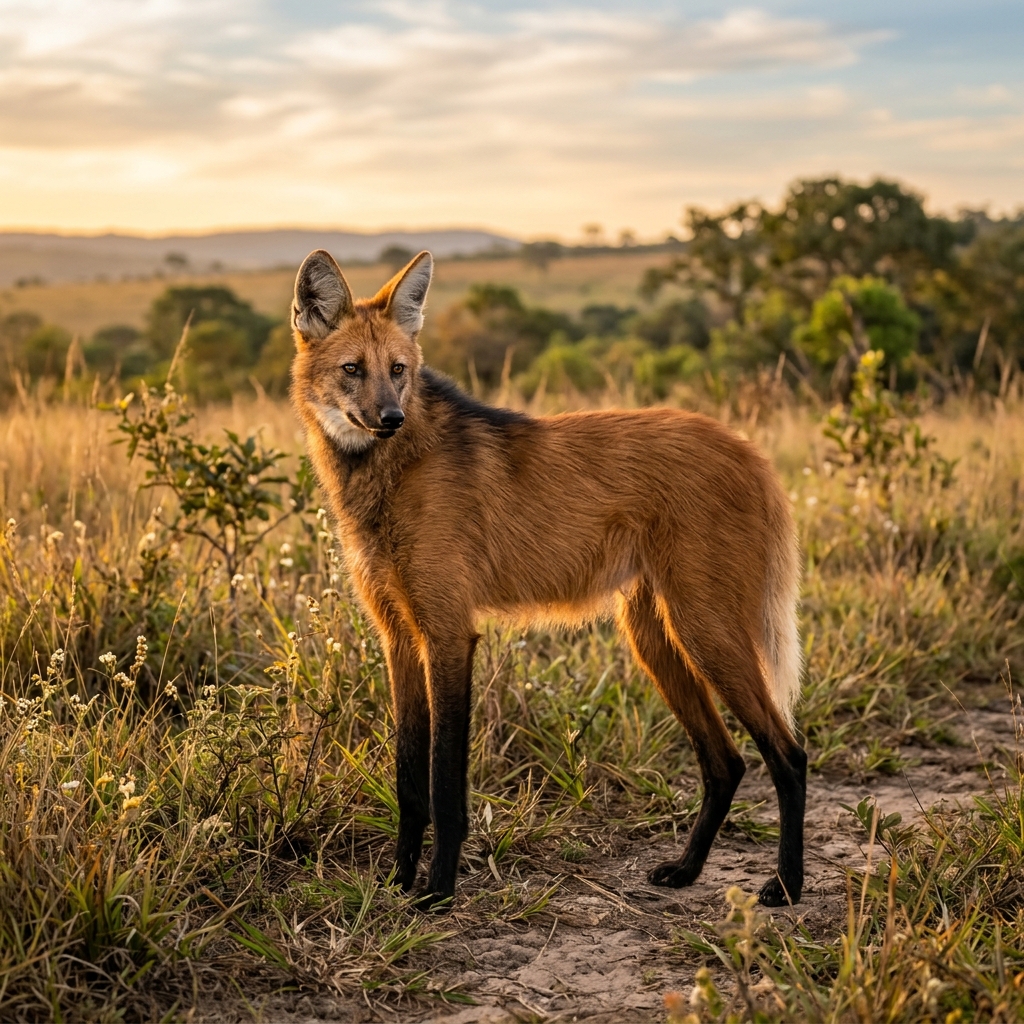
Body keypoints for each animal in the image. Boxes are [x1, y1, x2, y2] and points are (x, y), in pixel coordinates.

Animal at [289, 248, 806, 910]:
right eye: (352, 369)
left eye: (398, 370)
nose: (390, 417)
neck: (383, 473)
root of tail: (749, 448)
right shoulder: (401, 638)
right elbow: (409, 777)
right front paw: (398, 881)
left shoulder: (449, 635)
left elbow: (444, 783)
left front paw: (437, 892)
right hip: (654, 636)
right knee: (726, 761)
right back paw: (686, 869)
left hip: (704, 628)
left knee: (788, 755)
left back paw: (786, 885)